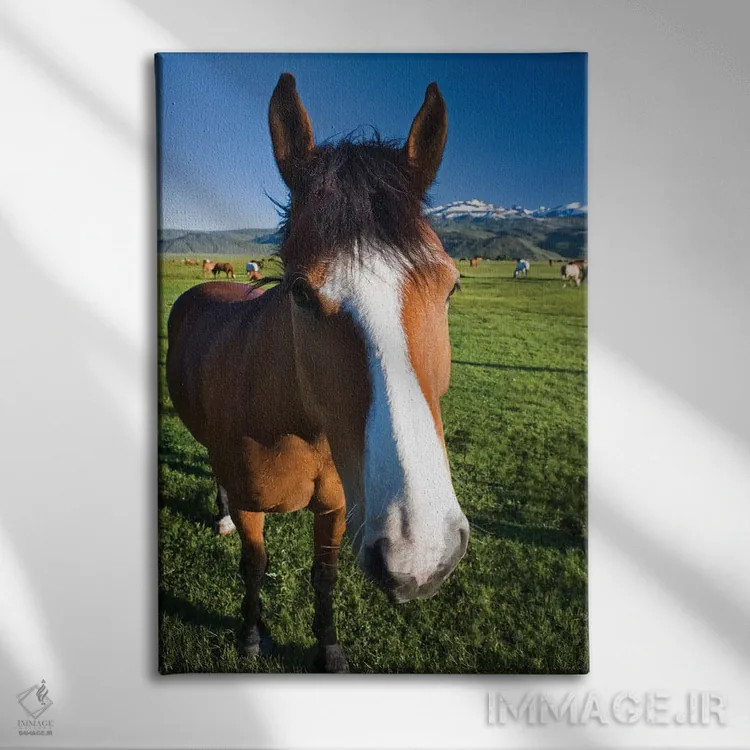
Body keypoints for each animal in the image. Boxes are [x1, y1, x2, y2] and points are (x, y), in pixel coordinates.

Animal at [166, 73, 469, 673]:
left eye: (450, 287)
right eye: (301, 293)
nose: (420, 549)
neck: (295, 424)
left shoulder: (335, 508)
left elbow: (324, 576)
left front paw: (328, 648)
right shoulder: (255, 507)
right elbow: (254, 566)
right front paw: (251, 635)